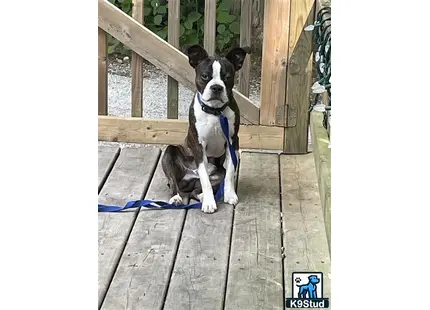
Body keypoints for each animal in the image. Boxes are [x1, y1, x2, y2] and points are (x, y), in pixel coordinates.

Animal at [160, 44, 250, 213]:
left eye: (227, 77)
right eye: (204, 76)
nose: (216, 87)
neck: (215, 111)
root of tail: (189, 178)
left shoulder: (232, 142)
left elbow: (230, 172)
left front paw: (230, 195)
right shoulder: (198, 145)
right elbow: (205, 179)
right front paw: (209, 202)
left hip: (217, 175)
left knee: (196, 190)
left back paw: (203, 196)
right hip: (170, 153)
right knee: (174, 183)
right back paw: (177, 198)